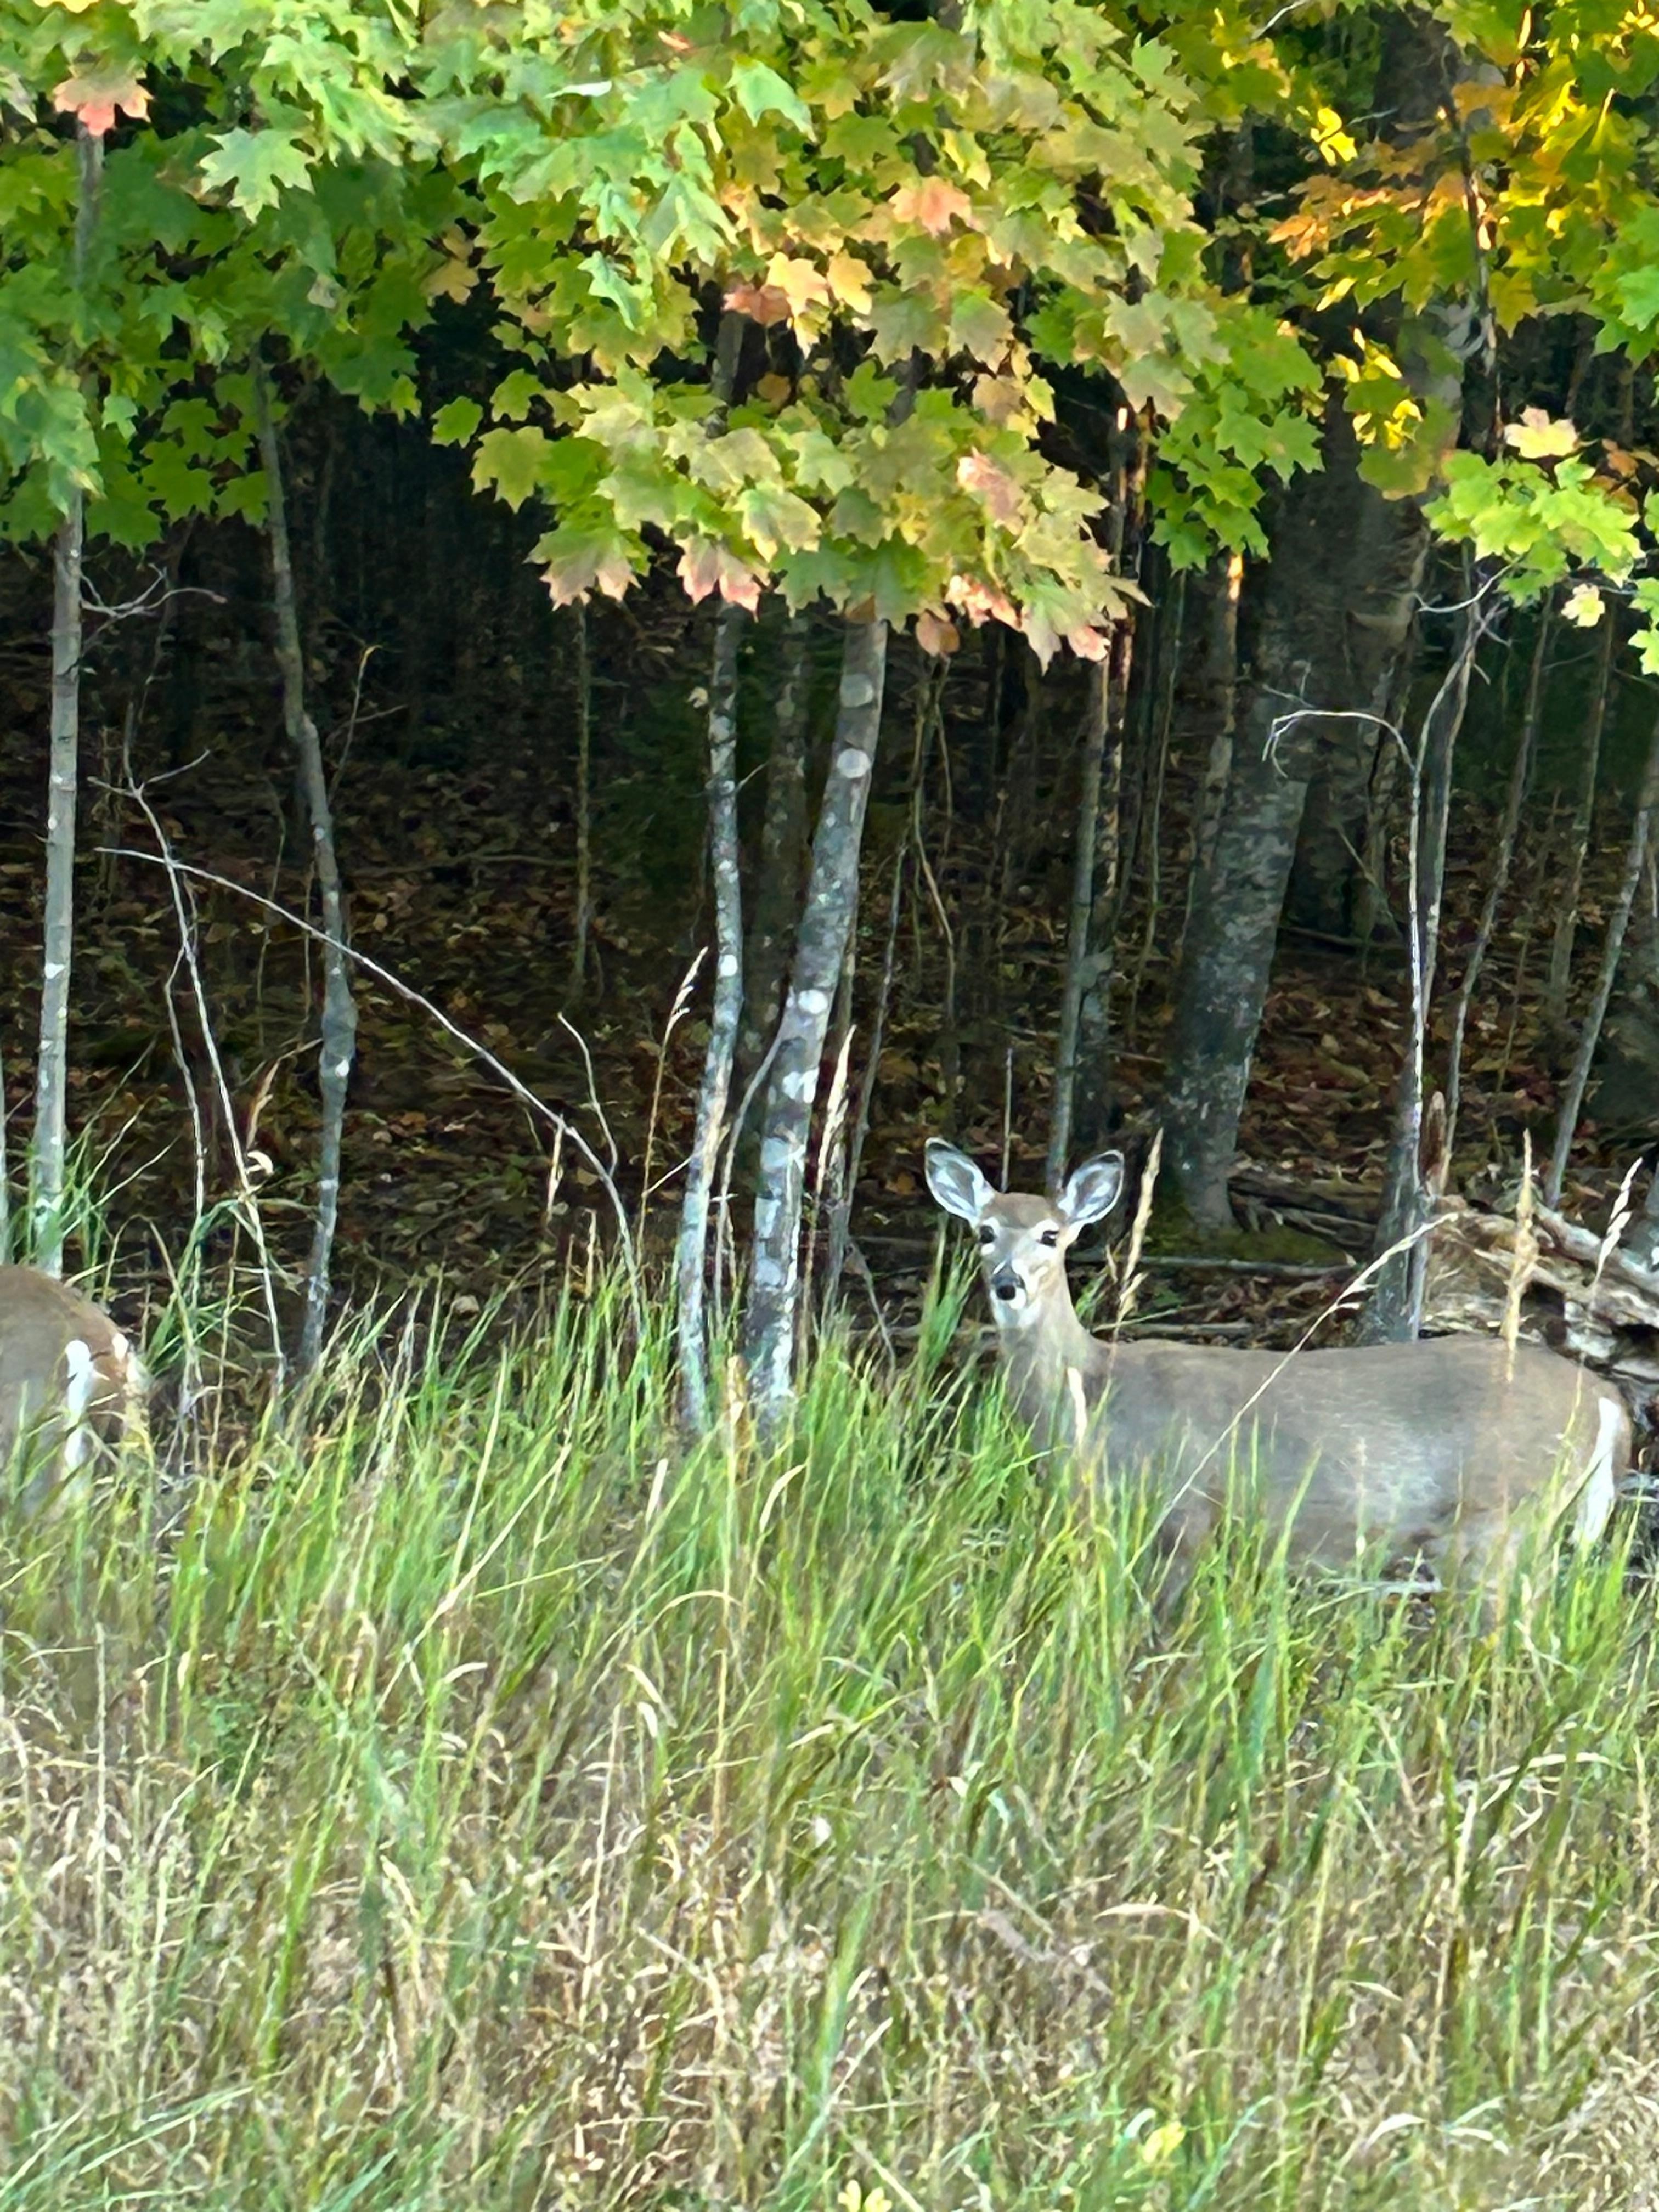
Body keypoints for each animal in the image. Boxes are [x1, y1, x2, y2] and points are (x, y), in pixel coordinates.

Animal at [925, 1140, 1632, 1607]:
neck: (1096, 1394)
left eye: (1051, 1235)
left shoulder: (1186, 1509)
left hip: (1503, 1514)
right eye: (984, 1231)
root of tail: (1605, 1398)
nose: (1008, 1284)